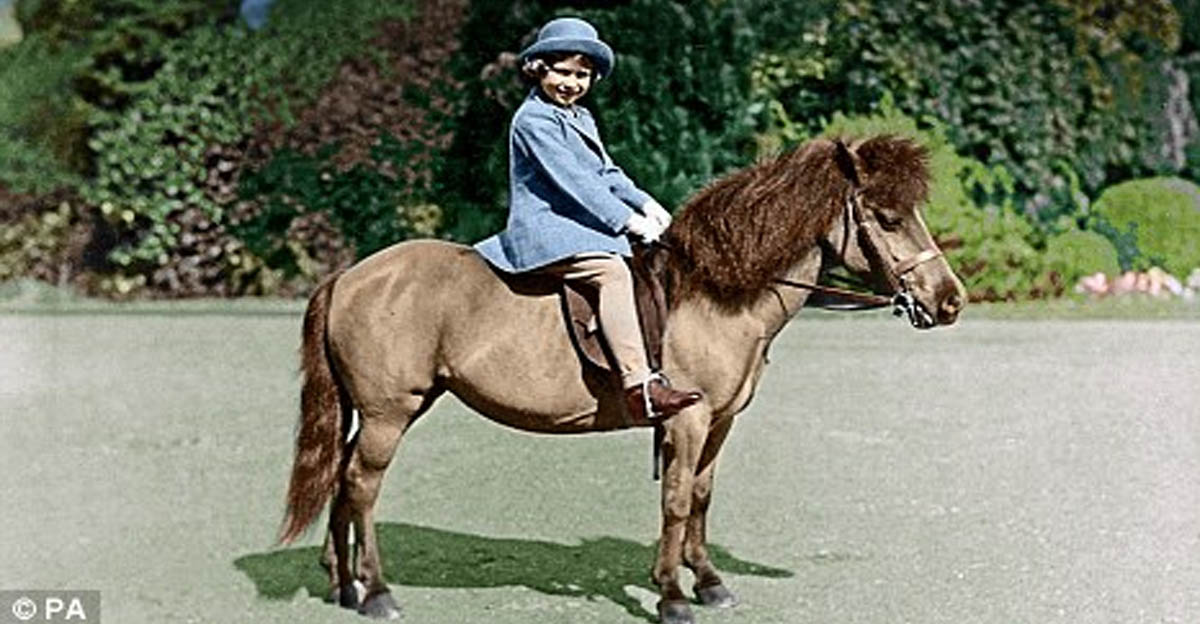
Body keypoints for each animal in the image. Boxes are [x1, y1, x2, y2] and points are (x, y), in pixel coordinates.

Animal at [274, 133, 964, 619]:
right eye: (887, 217)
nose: (951, 300)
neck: (715, 292)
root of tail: (350, 275)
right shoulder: (687, 420)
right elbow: (676, 500)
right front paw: (673, 597)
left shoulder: (718, 423)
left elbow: (702, 497)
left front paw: (709, 582)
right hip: (389, 413)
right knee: (361, 486)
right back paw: (377, 592)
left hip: (385, 410)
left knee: (341, 479)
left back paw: (343, 584)